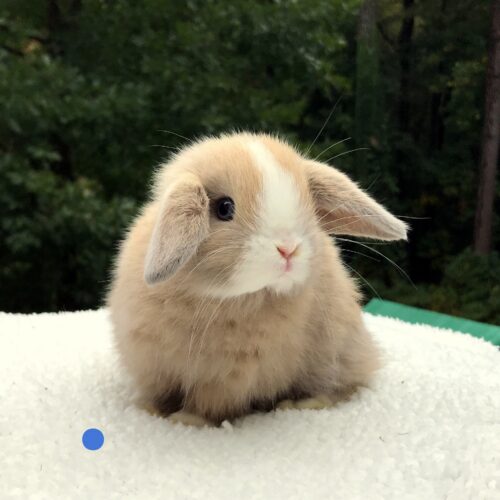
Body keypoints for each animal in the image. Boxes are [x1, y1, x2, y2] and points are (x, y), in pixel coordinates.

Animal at [107, 132, 408, 426]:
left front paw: (187, 420)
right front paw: (148, 410)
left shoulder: (226, 380)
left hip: (337, 353)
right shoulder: (153, 366)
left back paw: (300, 403)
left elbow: (207, 405)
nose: (288, 249)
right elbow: (159, 394)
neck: (217, 299)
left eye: (309, 207)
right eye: (224, 208)